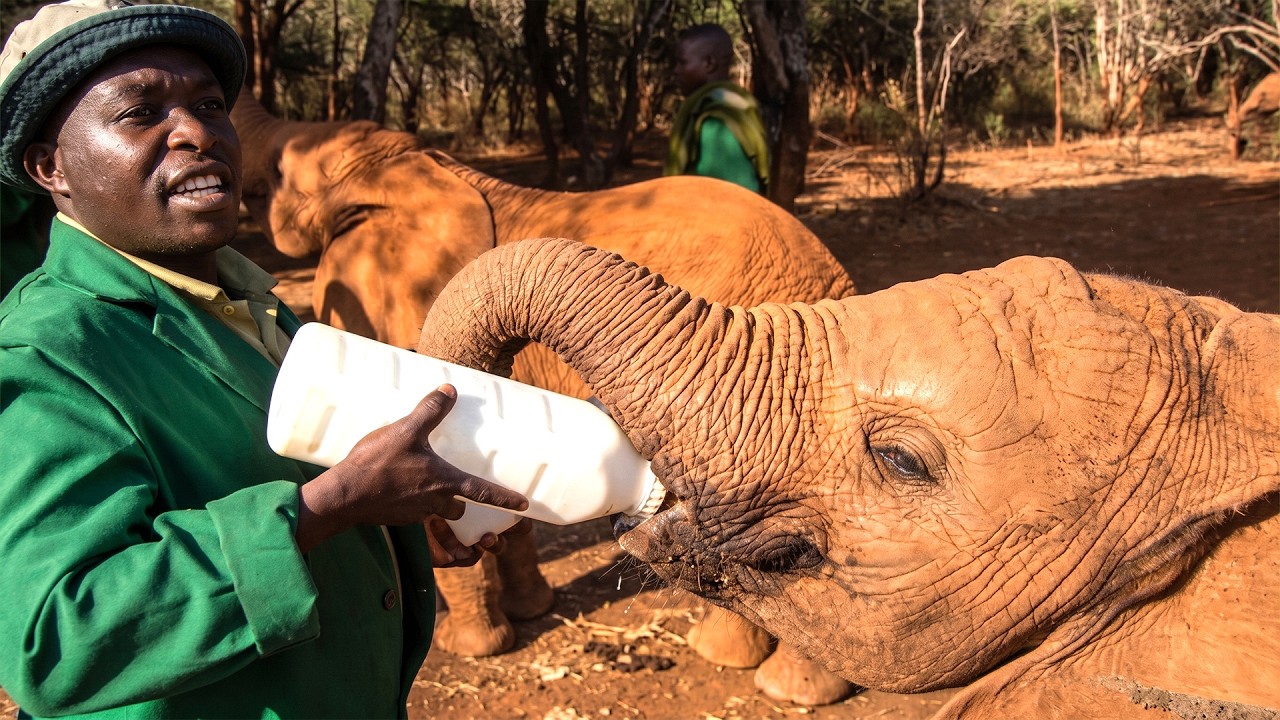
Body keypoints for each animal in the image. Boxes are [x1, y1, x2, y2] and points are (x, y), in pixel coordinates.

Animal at [229, 93, 860, 704]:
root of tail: (835, 276)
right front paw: (531, 608)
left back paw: (786, 691)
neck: (414, 164)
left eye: (278, 172)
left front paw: (474, 647)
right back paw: (732, 660)